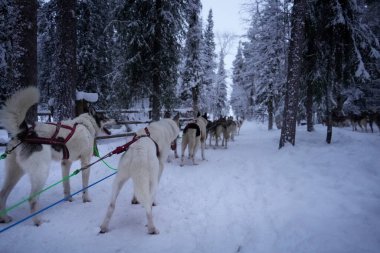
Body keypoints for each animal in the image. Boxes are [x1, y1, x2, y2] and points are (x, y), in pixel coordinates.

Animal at [0, 87, 113, 225]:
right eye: (105, 117)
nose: (117, 120)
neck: (86, 125)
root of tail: (25, 132)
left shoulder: (65, 162)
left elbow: (66, 185)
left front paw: (68, 199)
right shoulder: (85, 162)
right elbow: (85, 186)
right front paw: (86, 199)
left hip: (15, 173)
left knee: (2, 194)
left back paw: (4, 218)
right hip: (41, 173)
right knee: (32, 199)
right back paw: (38, 221)